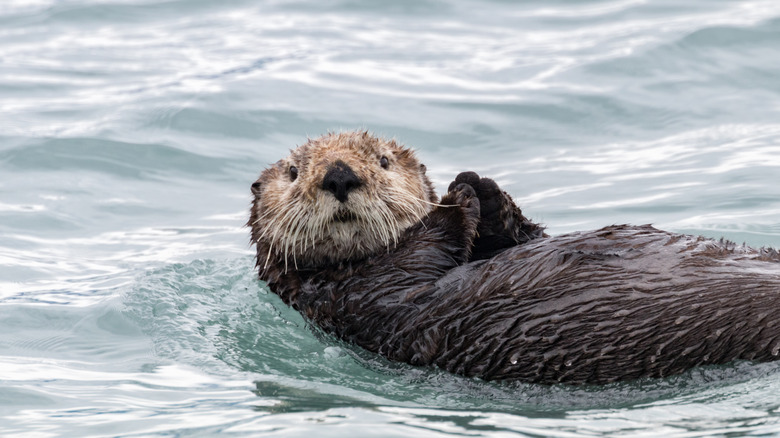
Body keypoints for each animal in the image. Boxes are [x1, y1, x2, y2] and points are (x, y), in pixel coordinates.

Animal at [248, 132, 780, 384]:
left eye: (383, 160)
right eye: (293, 172)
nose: (339, 174)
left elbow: (520, 237)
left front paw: (479, 186)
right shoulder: (360, 301)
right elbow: (422, 257)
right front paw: (458, 197)